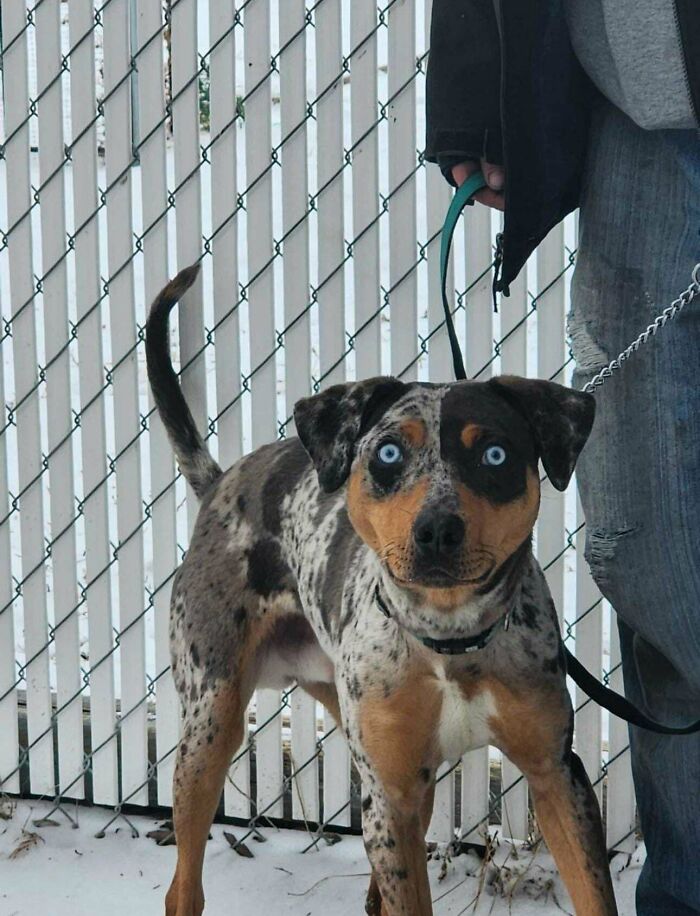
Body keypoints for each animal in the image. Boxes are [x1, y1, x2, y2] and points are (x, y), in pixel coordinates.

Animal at [148, 262, 616, 912]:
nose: (437, 529)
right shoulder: (389, 792)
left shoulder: (557, 773)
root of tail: (222, 482)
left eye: (495, 454)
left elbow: (594, 891)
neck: (449, 637)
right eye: (389, 452)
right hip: (209, 723)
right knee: (183, 883)